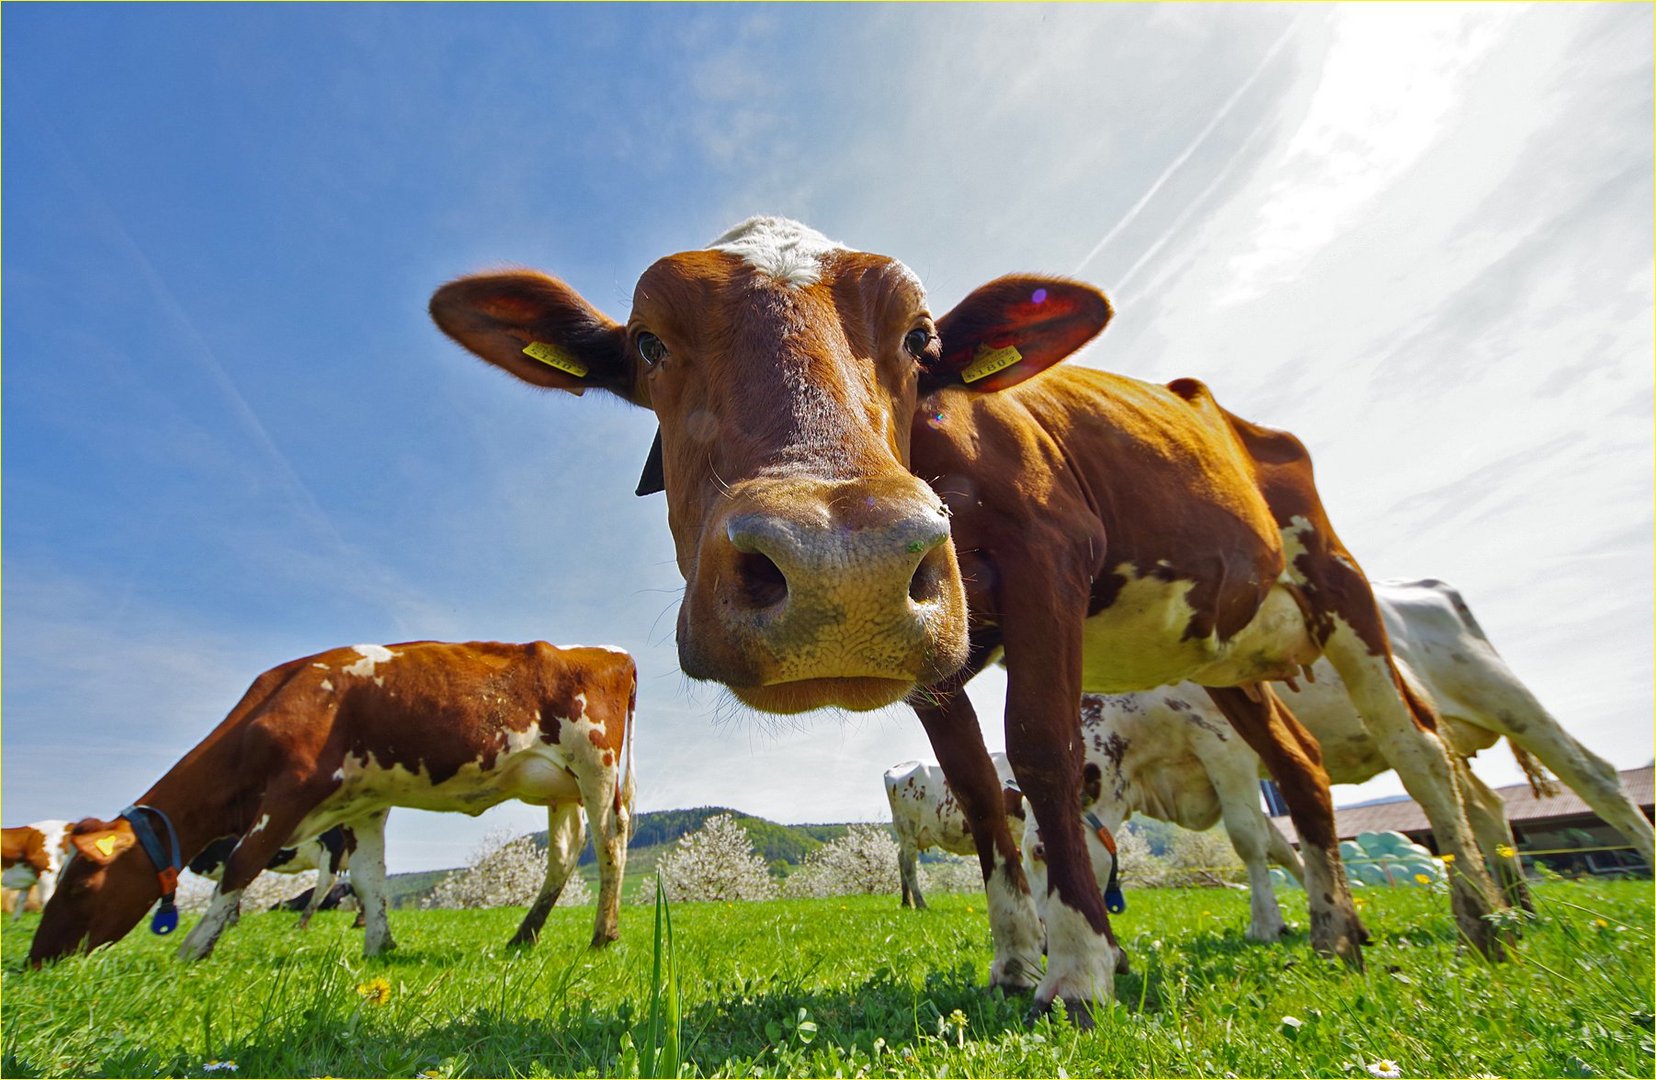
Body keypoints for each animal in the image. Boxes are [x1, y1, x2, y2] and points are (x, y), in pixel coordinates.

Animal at [887, 752, 1013, 914]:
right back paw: (921, 903)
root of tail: (897, 767)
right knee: (909, 865)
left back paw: (906, 902)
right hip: (908, 830)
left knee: (900, 858)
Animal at [1026, 576, 1649, 940]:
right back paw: (1515, 908)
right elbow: (1282, 844)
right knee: (1484, 808)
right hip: (1451, 735)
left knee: (1596, 777)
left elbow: (1248, 840)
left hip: (1507, 698)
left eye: (1041, 851)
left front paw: (1266, 925)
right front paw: (1319, 903)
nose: (1043, 929)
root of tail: (1425, 585)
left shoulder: (1224, 748)